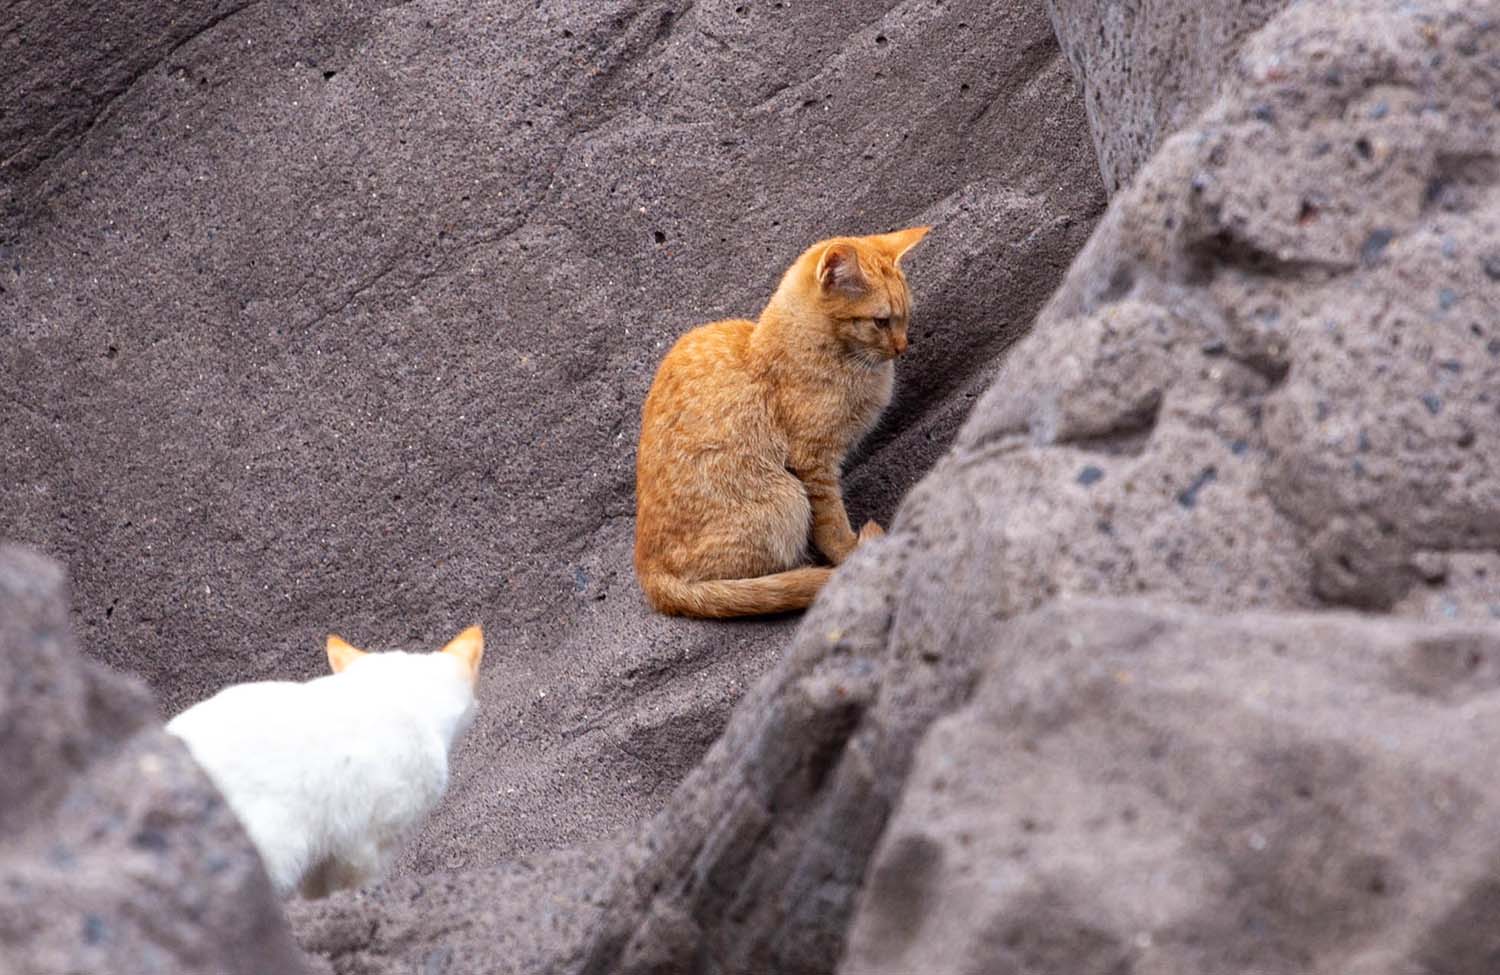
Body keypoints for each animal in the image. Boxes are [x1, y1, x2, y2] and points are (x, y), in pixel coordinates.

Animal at [630, 228, 924, 615]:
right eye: (880, 321)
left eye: (905, 316)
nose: (902, 347)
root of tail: (648, 575)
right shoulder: (813, 463)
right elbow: (831, 523)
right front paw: (851, 553)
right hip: (786, 498)